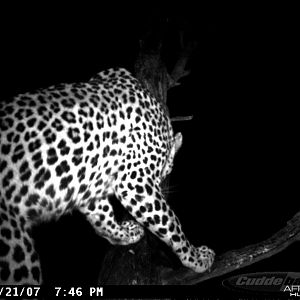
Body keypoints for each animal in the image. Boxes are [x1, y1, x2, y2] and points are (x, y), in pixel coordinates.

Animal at [0, 67, 213, 284]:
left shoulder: (89, 182)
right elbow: (171, 224)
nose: (162, 180)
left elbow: (103, 219)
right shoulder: (136, 183)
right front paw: (196, 257)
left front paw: (125, 233)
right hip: (16, 244)